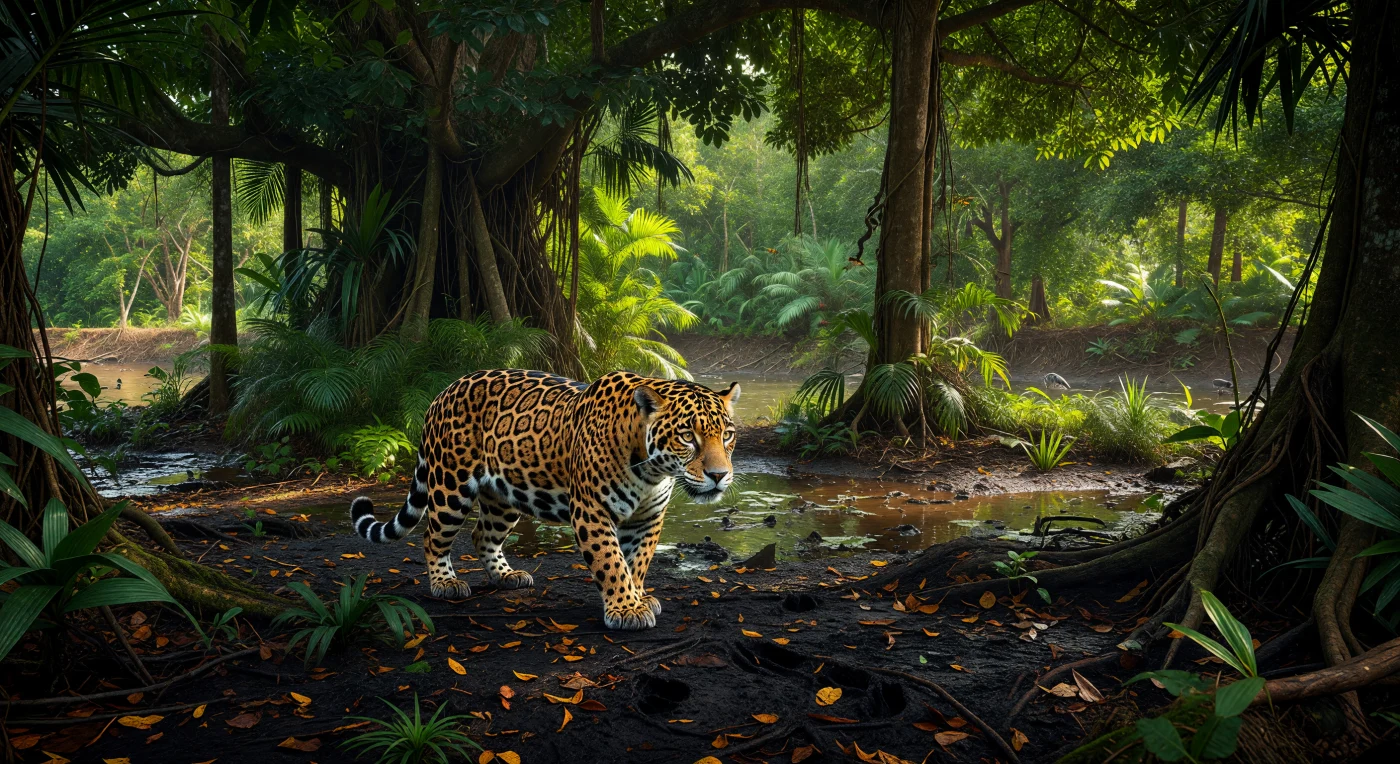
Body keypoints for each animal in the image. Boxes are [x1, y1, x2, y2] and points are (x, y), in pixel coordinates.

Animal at [349, 368, 740, 630]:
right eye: (687, 436)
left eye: (727, 434)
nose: (719, 475)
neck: (651, 470)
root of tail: (442, 392)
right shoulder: (592, 511)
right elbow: (612, 562)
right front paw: (626, 609)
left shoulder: (648, 519)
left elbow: (637, 563)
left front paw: (636, 597)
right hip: (450, 487)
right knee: (433, 536)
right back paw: (445, 583)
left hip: (504, 497)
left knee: (481, 535)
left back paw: (506, 576)